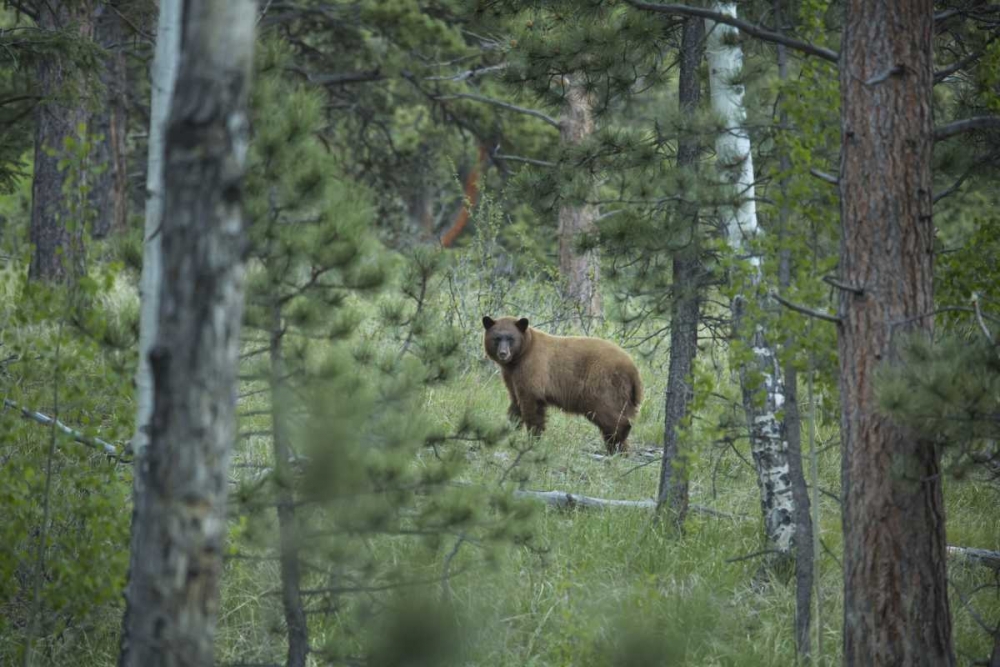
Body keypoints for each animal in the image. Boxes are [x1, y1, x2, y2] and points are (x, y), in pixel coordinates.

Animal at [482, 316, 643, 454]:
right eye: (497, 338)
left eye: (511, 338)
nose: (503, 353)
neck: (522, 353)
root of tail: (633, 369)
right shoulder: (512, 376)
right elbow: (515, 402)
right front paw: (507, 430)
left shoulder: (532, 369)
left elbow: (531, 405)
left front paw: (533, 439)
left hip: (603, 385)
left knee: (611, 417)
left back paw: (617, 448)